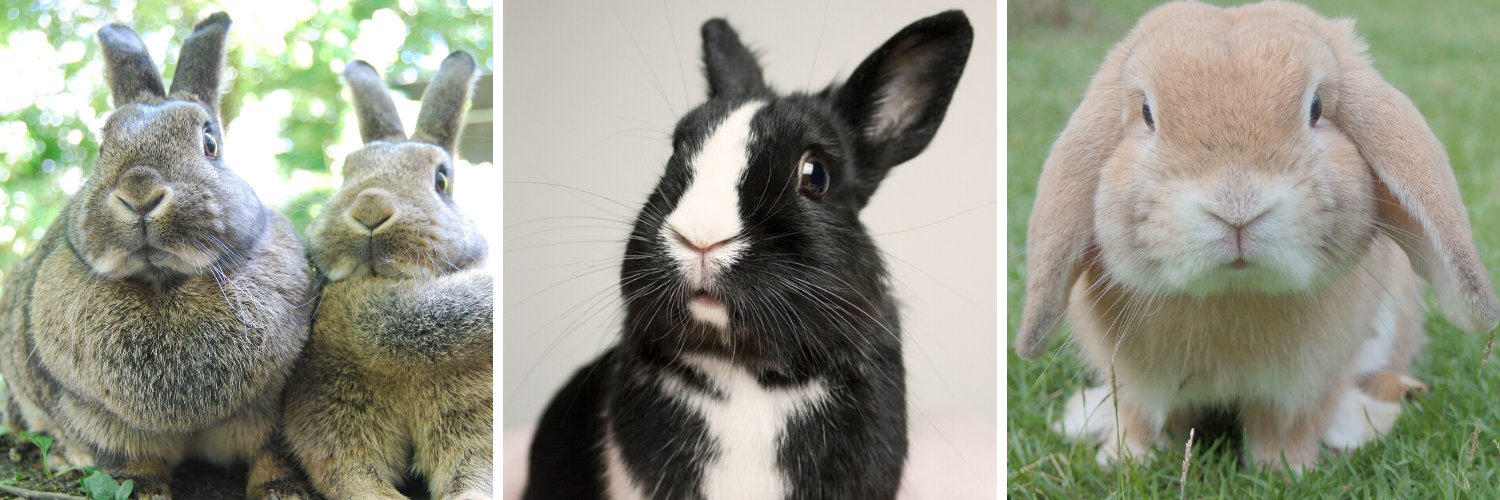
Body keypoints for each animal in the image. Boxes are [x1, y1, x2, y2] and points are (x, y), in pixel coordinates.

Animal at [0, 12, 317, 499]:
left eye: (209, 143)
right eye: (102, 147)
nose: (140, 193)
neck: (164, 283)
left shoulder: (273, 408)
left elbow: (272, 452)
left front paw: (282, 489)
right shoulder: (96, 419)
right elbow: (130, 459)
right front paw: (141, 488)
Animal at [280, 51, 492, 500]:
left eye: (441, 179)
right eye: (346, 172)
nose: (370, 208)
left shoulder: (476, 418)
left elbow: (474, 473)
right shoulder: (331, 415)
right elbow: (354, 476)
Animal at [1013, 0, 1499, 473]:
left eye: (1316, 107)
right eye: (1148, 114)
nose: (1237, 206)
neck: (1232, 293)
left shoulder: (1300, 387)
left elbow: (1284, 427)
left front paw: (1286, 469)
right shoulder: (1136, 385)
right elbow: (1140, 419)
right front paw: (1124, 461)